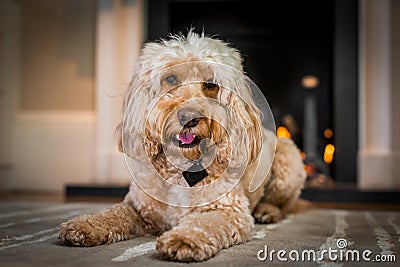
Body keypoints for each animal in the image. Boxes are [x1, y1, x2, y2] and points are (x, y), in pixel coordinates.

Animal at [58, 30, 306, 262]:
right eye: (170, 79)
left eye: (211, 84)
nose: (188, 116)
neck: (184, 166)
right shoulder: (137, 208)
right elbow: (114, 213)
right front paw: (85, 225)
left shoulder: (227, 211)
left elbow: (204, 223)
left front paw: (183, 239)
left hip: (287, 164)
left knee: (285, 205)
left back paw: (267, 211)